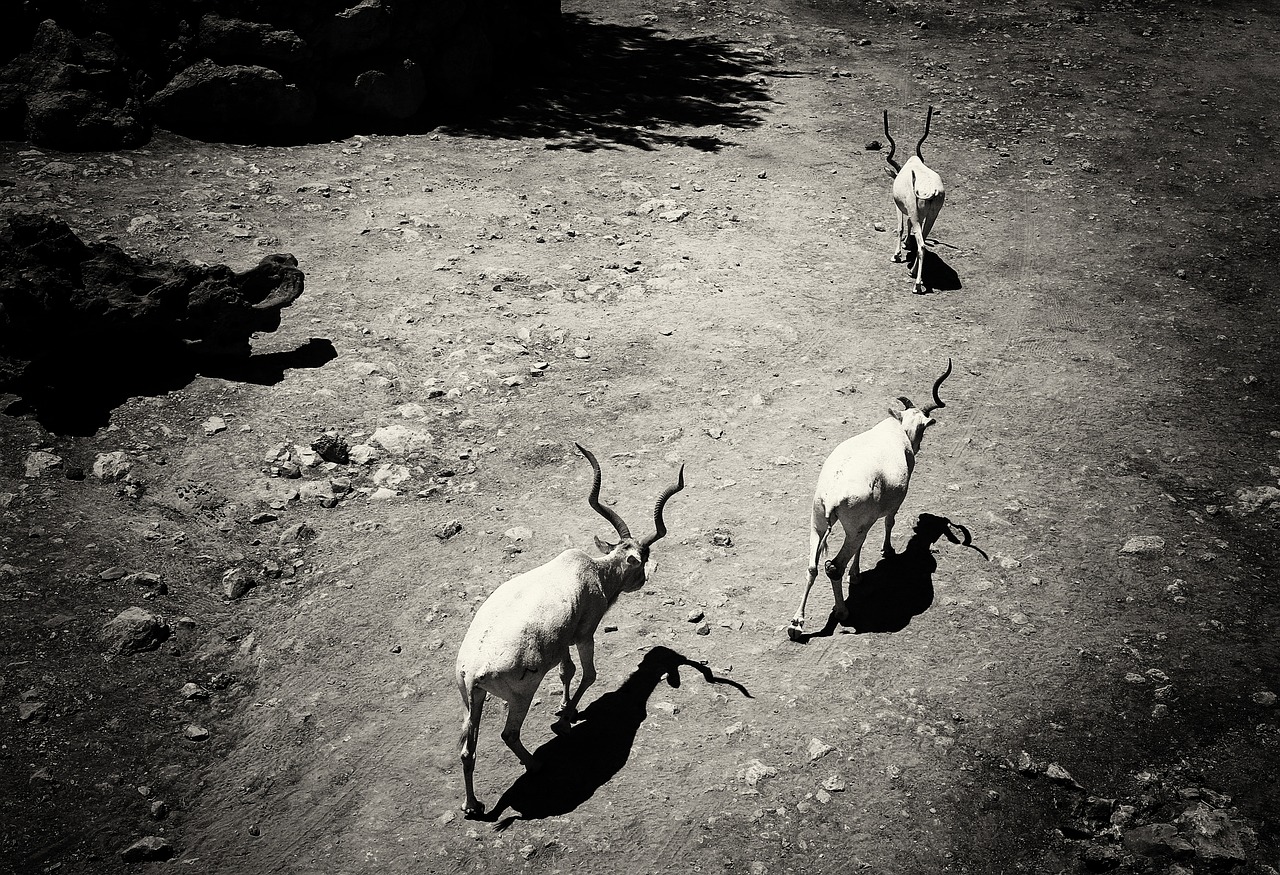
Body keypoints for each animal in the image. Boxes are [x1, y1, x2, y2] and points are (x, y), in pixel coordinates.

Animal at [455, 447, 686, 818]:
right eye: (643, 556)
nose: (642, 580)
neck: (593, 570)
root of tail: (474, 669)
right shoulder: (584, 635)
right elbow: (588, 673)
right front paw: (564, 721)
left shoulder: (561, 640)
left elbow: (566, 670)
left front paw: (565, 708)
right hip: (520, 695)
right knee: (508, 734)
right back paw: (534, 765)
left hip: (470, 699)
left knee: (467, 748)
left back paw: (472, 805)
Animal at [783, 360, 957, 642]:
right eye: (923, 427)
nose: (917, 445)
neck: (897, 430)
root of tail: (833, 494)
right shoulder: (893, 505)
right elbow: (889, 523)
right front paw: (887, 551)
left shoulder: (863, 524)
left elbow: (862, 545)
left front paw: (856, 576)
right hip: (849, 528)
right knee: (833, 567)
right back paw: (842, 612)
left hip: (819, 523)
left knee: (813, 566)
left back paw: (797, 624)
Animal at [885, 106, 947, 295]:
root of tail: (932, 191)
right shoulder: (917, 214)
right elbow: (909, 225)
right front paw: (906, 244)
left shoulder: (899, 207)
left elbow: (900, 227)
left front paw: (896, 255)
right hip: (931, 216)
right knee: (923, 243)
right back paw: (912, 272)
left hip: (916, 212)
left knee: (921, 245)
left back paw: (917, 284)